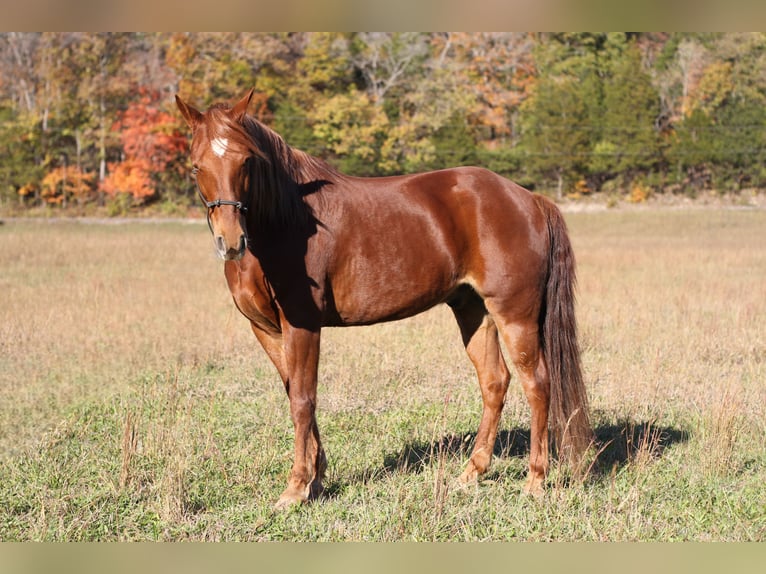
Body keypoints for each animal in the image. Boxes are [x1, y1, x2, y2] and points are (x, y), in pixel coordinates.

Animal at [175, 89, 592, 508]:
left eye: (246, 161)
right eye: (196, 166)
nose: (231, 242)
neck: (286, 222)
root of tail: (529, 198)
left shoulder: (302, 326)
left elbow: (303, 400)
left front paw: (295, 488)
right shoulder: (265, 329)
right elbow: (295, 393)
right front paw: (317, 477)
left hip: (515, 315)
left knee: (537, 384)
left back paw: (535, 480)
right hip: (474, 310)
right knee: (494, 382)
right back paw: (471, 474)